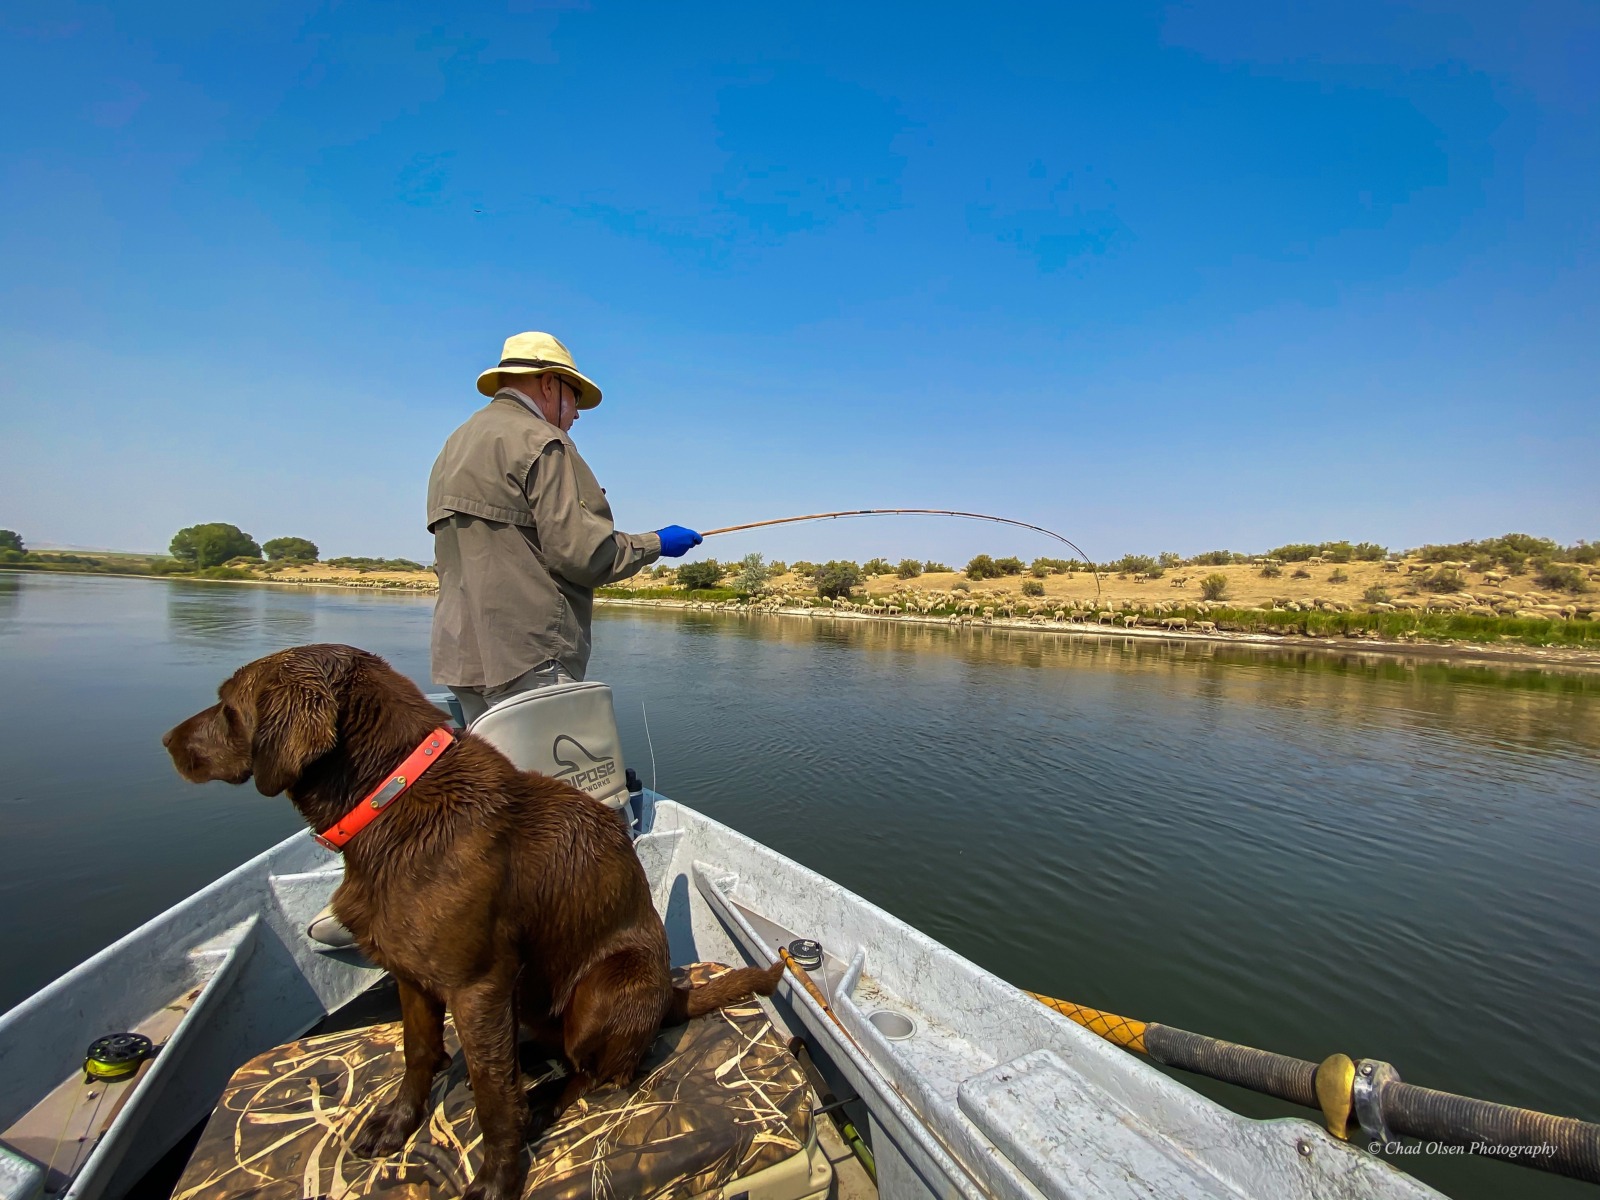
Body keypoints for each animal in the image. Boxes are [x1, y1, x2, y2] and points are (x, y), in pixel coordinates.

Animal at [164, 649, 780, 1200]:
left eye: (227, 706)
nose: (166, 741)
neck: (392, 797)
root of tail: (671, 998)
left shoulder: (477, 985)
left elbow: (492, 1097)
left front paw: (497, 1179)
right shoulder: (412, 973)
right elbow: (417, 1054)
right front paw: (397, 1125)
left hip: (605, 990)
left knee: (599, 1072)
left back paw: (548, 1096)